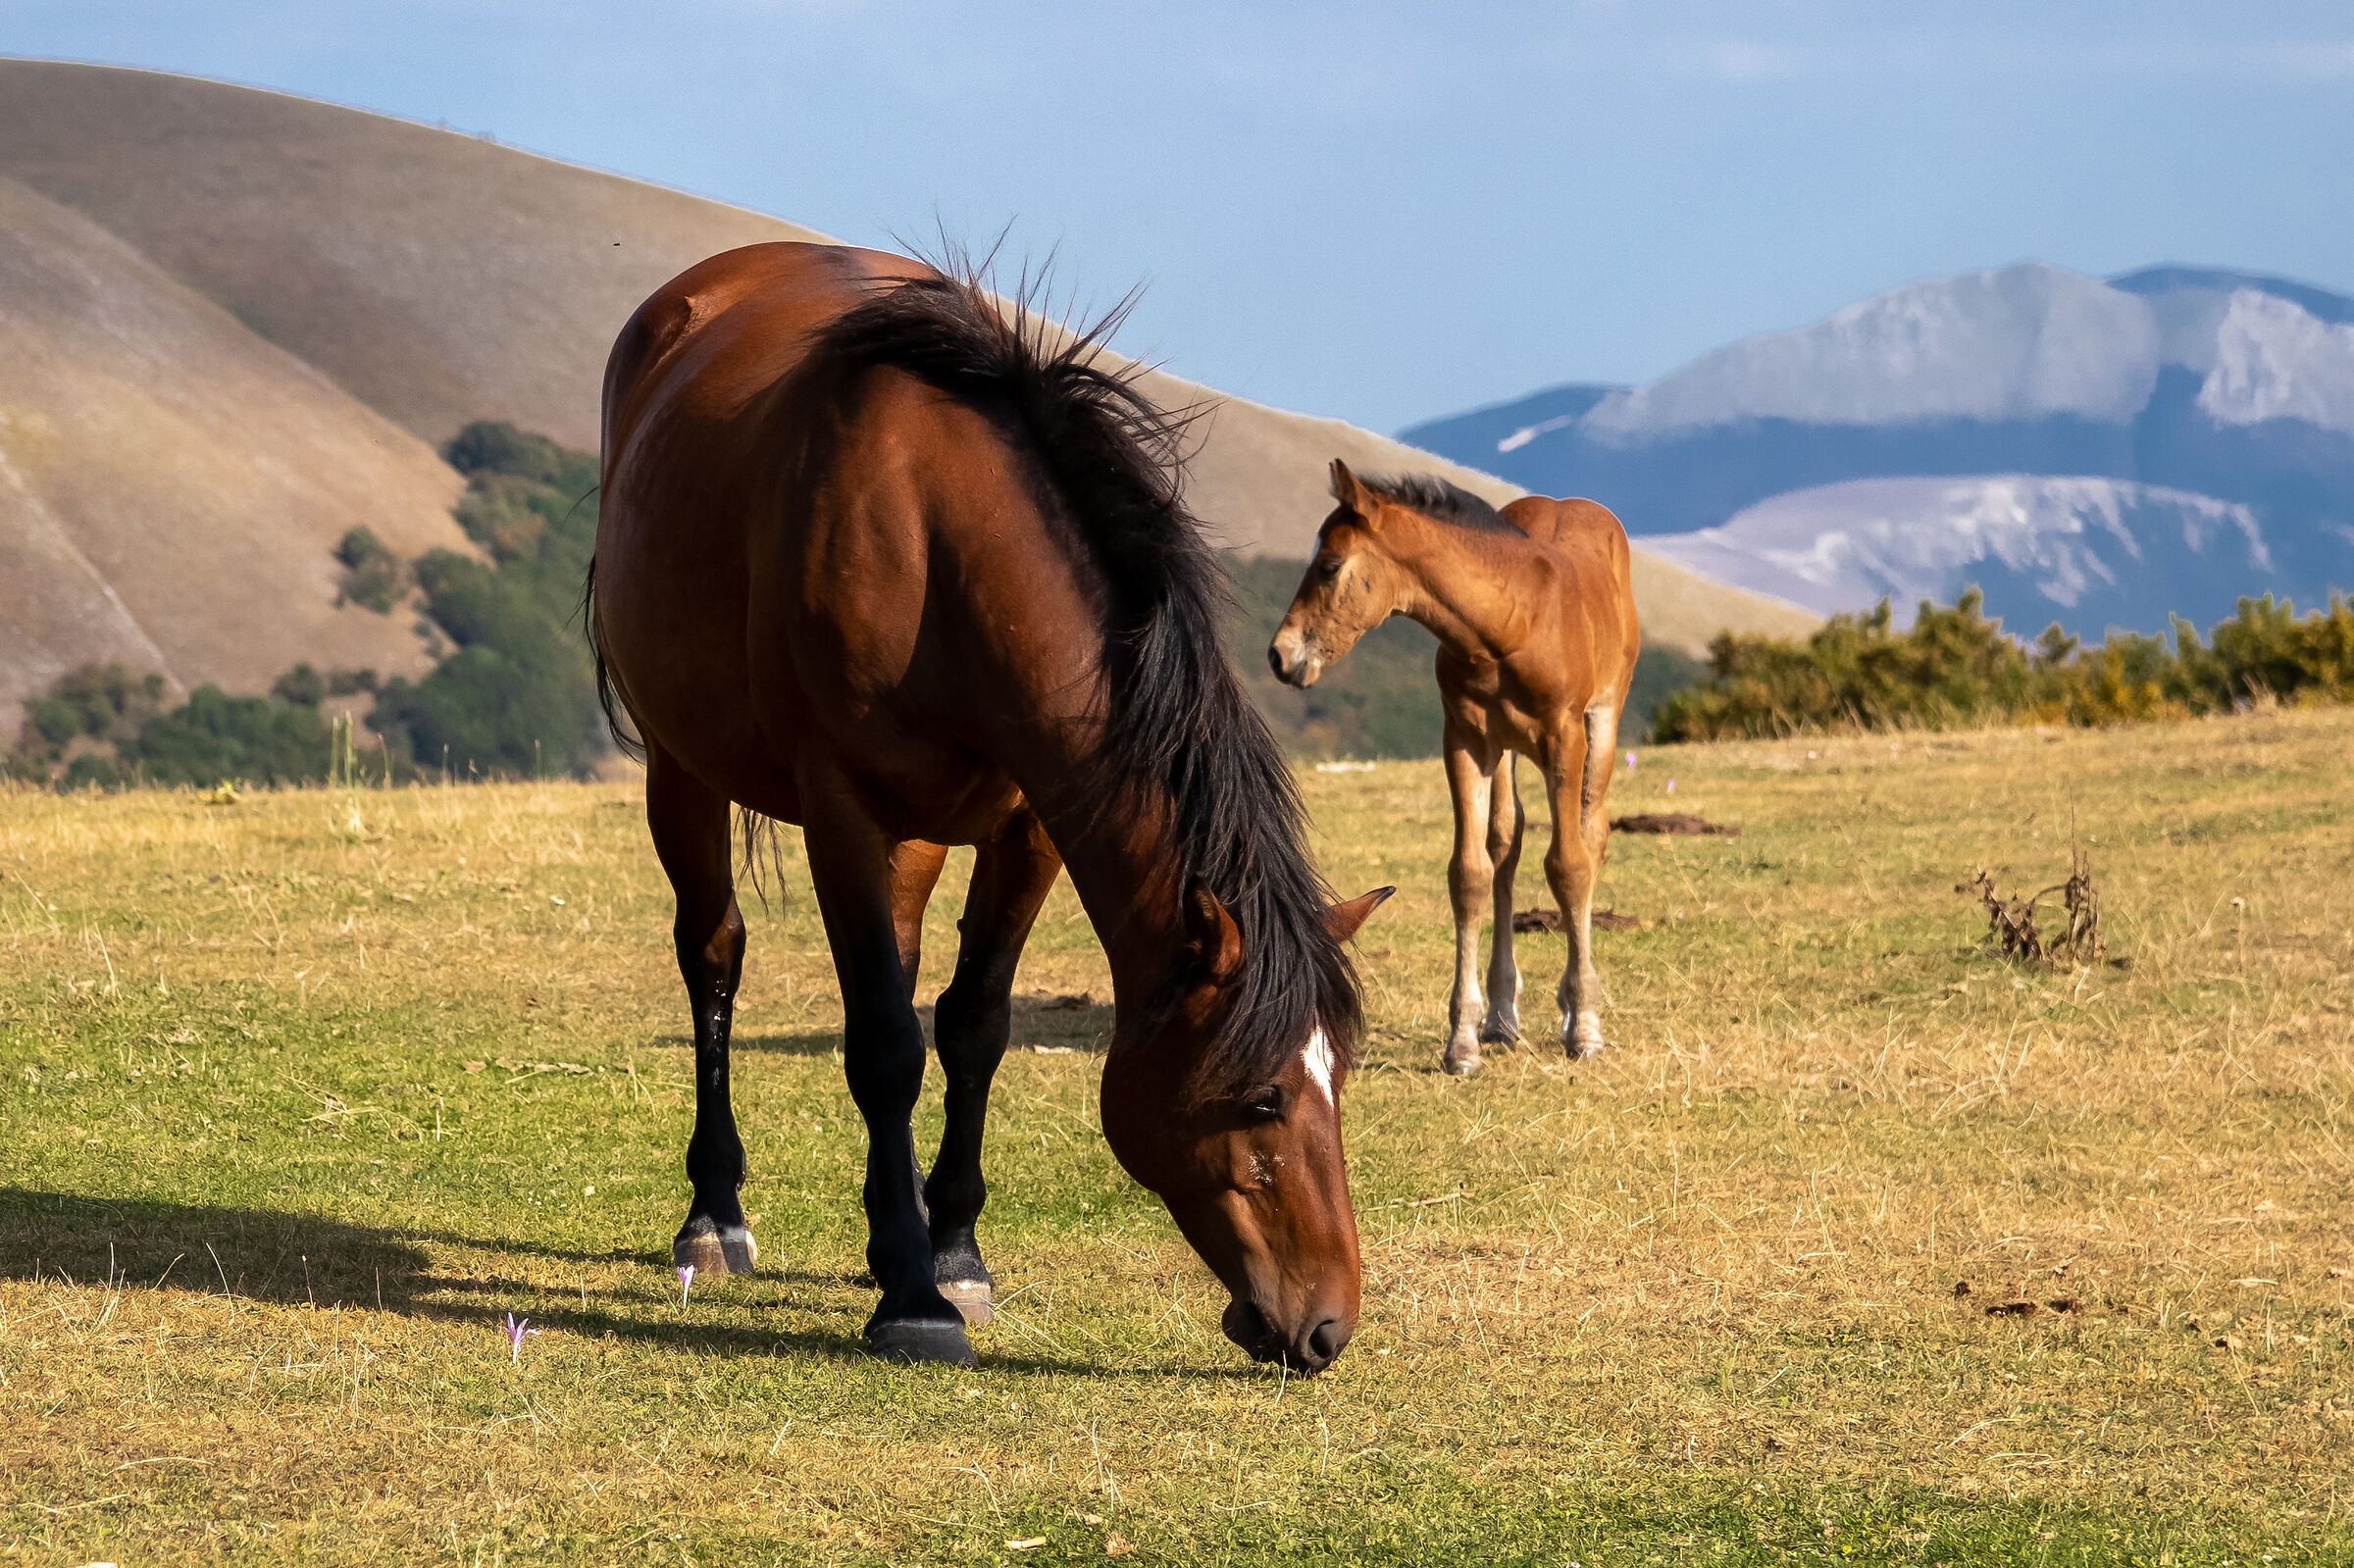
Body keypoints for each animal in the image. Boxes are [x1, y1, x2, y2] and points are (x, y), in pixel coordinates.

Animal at [587, 242, 1392, 1370]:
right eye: (1264, 1095)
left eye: (1342, 1078)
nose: (1326, 1327)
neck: (935, 535)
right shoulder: (842, 810)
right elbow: (885, 1046)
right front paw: (913, 1302)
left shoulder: (1029, 825)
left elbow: (972, 1028)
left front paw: (952, 1253)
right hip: (683, 768)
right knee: (714, 956)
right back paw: (716, 1214)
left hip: (916, 839)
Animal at [1268, 462, 1638, 1077]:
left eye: (1329, 565)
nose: (1280, 655)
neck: (1510, 624)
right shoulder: (1465, 740)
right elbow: (1470, 874)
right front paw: (1463, 1041)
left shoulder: (1565, 738)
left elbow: (1567, 865)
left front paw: (1584, 1027)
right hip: (1506, 750)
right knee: (1506, 843)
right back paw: (1503, 1018)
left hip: (1603, 720)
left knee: (1590, 835)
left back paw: (1572, 1008)